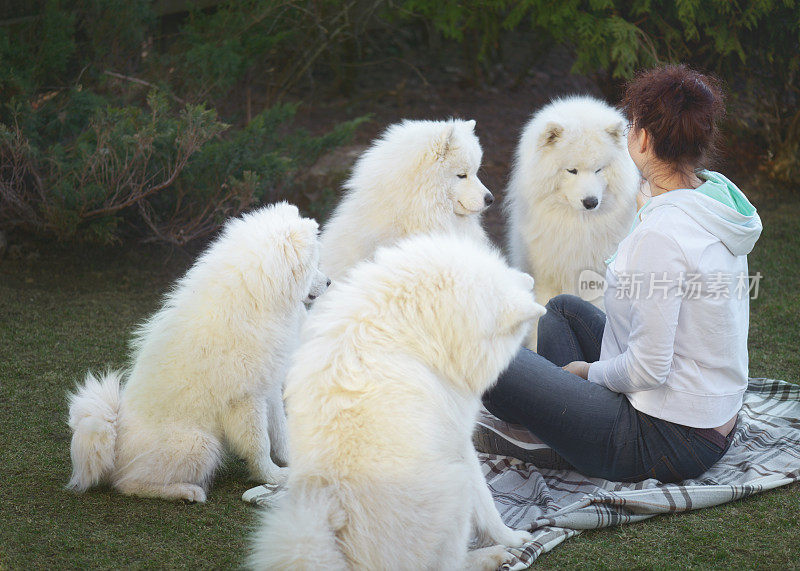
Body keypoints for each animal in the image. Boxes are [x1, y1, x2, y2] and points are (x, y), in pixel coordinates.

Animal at [65, 202, 328, 500]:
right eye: (313, 265)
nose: (330, 282)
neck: (256, 297)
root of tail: (115, 441)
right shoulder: (245, 400)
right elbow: (259, 444)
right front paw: (273, 476)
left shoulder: (268, 387)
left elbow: (281, 430)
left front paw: (291, 460)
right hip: (200, 443)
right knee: (128, 484)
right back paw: (187, 491)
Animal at [250, 233, 548, 571]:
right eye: (514, 340)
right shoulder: (459, 441)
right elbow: (487, 504)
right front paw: (511, 538)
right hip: (454, 485)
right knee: (449, 564)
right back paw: (488, 556)